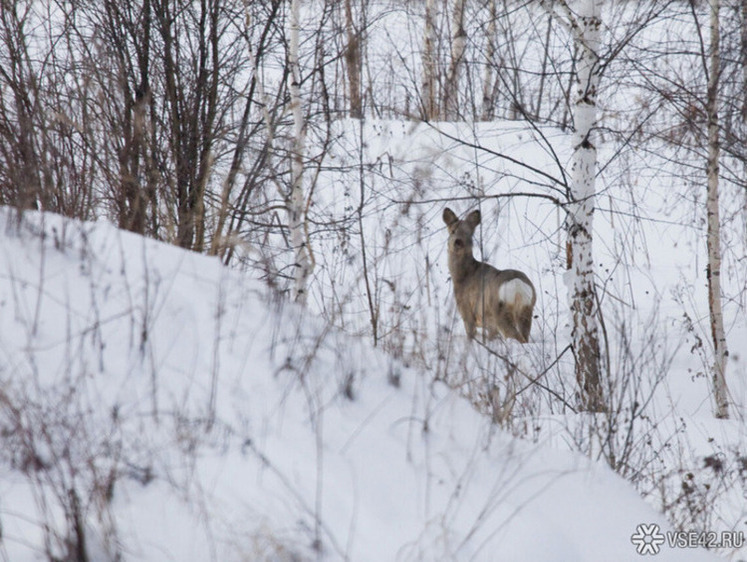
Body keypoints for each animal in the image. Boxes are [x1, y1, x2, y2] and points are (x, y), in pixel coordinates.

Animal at [442, 207, 536, 342]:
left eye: (469, 233)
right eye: (453, 231)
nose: (458, 242)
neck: (463, 275)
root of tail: (518, 286)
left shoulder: (466, 310)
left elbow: (471, 335)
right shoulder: (489, 324)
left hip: (500, 311)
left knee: (516, 337)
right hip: (527, 309)